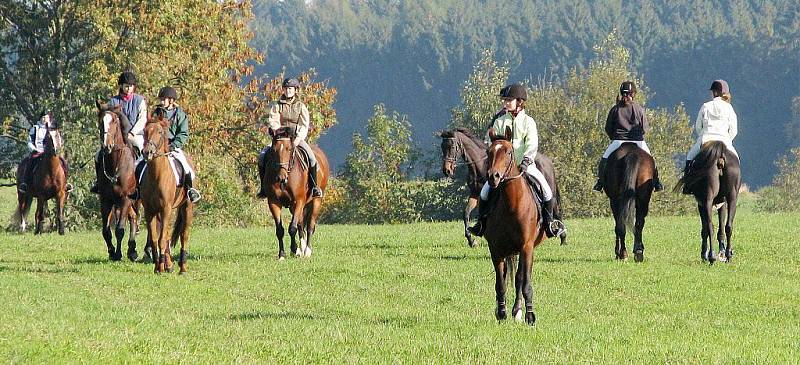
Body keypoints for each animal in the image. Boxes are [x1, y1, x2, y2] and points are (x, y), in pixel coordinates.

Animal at [95, 101, 141, 262]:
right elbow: (106, 230)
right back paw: (132, 250)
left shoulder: (125, 199)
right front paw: (112, 252)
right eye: (100, 121)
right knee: (133, 218)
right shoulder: (106, 201)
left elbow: (120, 229)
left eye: (114, 121)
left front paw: (118, 254)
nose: (106, 147)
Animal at [139, 108, 192, 272]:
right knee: (168, 235)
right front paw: (158, 266)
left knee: (184, 235)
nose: (147, 152)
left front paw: (161, 267)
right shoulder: (150, 211)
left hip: (187, 206)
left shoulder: (167, 209)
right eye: (144, 131)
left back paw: (183, 268)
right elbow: (155, 239)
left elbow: (162, 239)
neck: (157, 175)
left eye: (160, 131)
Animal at [264, 126, 330, 258]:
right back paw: (302, 248)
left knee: (309, 225)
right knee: (301, 224)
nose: (281, 177)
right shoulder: (273, 202)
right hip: (294, 206)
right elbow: (280, 230)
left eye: (289, 149)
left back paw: (307, 250)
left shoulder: (298, 200)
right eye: (273, 150)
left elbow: (292, 228)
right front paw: (282, 254)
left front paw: (294, 249)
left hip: (316, 201)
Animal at [438, 126, 568, 246]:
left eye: (452, 147)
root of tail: (548, 161)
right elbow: (466, 213)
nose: (447, 170)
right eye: (442, 147)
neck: (479, 166)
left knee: (556, 210)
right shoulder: (475, 194)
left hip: (550, 191)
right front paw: (471, 240)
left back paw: (562, 237)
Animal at [482, 126, 544, 326]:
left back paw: (518, 311)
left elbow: (525, 283)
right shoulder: (496, 250)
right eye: (489, 151)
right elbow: (500, 284)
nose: (493, 177)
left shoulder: (527, 247)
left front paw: (530, 316)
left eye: (508, 151)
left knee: (519, 279)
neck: (512, 205)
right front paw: (501, 313)